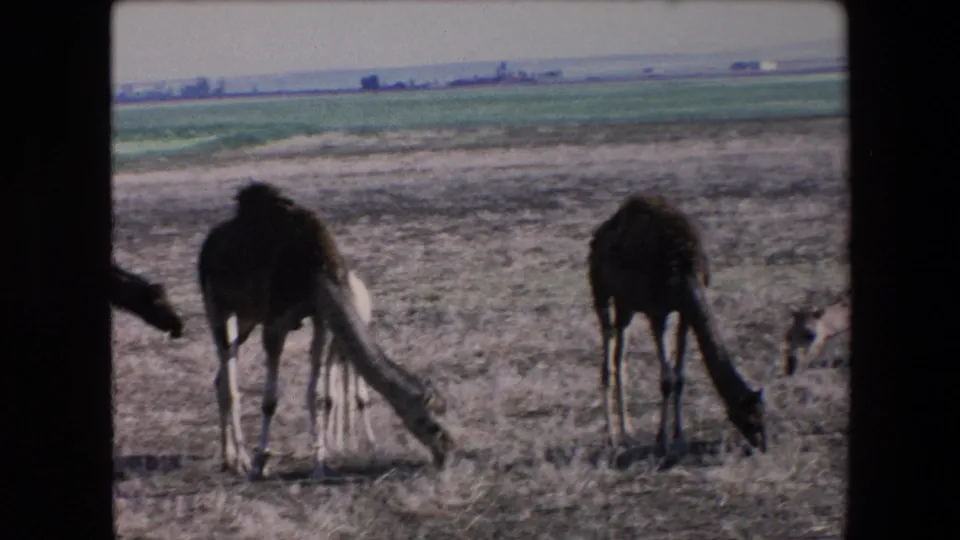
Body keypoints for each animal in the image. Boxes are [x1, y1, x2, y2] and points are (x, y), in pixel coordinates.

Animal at [198, 181, 454, 480]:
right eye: (432, 424)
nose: (446, 455)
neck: (317, 270)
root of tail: (207, 246)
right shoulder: (275, 322)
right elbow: (270, 399)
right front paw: (262, 460)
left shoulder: (318, 316)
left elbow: (318, 394)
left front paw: (320, 463)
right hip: (218, 308)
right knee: (229, 382)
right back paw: (241, 460)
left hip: (247, 318)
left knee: (221, 377)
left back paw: (228, 459)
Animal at [588, 193, 767, 457]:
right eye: (752, 418)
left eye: (764, 415)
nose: (763, 445)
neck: (684, 271)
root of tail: (598, 237)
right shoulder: (657, 312)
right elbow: (667, 380)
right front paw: (662, 442)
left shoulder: (683, 312)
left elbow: (680, 377)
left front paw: (679, 438)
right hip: (601, 293)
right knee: (607, 356)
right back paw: (611, 437)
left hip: (625, 305)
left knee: (620, 358)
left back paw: (627, 432)